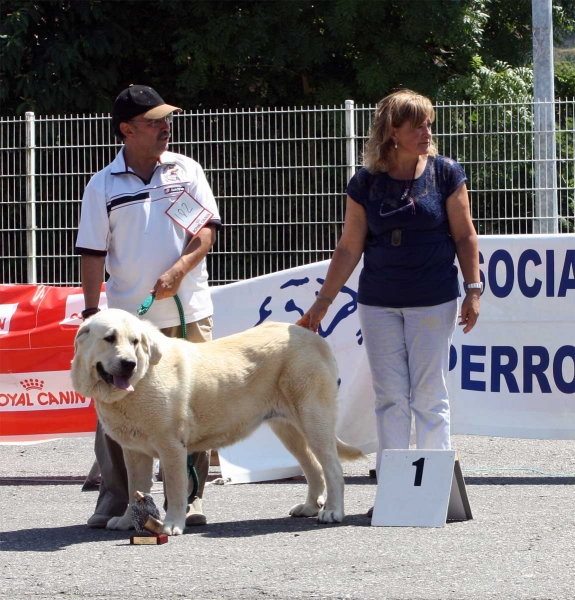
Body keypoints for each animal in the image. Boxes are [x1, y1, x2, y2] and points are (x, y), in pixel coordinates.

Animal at [70, 310, 362, 536]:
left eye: (135, 341)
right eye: (109, 338)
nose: (129, 363)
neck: (142, 379)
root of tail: (314, 337)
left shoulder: (171, 447)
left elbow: (175, 488)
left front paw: (172, 525)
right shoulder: (134, 452)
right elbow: (135, 489)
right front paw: (127, 521)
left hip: (313, 420)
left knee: (332, 467)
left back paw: (332, 511)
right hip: (288, 429)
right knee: (313, 467)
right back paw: (310, 507)